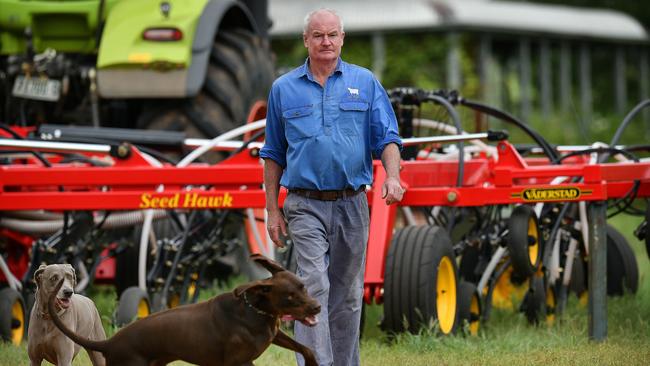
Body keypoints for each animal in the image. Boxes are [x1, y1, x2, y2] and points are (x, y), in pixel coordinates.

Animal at [46, 254, 320, 366]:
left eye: (303, 287)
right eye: (290, 297)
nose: (317, 307)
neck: (254, 310)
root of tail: (110, 343)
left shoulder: (275, 333)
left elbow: (304, 347)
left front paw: (312, 361)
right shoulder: (239, 362)